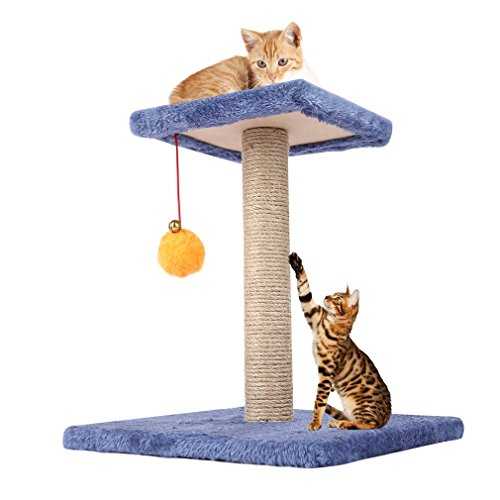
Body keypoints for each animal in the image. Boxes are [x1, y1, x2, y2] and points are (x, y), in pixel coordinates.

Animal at [289, 252, 391, 431]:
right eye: (332, 293)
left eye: (337, 298)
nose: (326, 296)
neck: (328, 323)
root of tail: (386, 417)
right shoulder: (312, 312)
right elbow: (305, 291)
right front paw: (296, 264)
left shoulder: (326, 371)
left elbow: (320, 401)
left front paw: (315, 423)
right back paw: (339, 421)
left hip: (362, 405)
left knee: (368, 424)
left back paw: (343, 423)